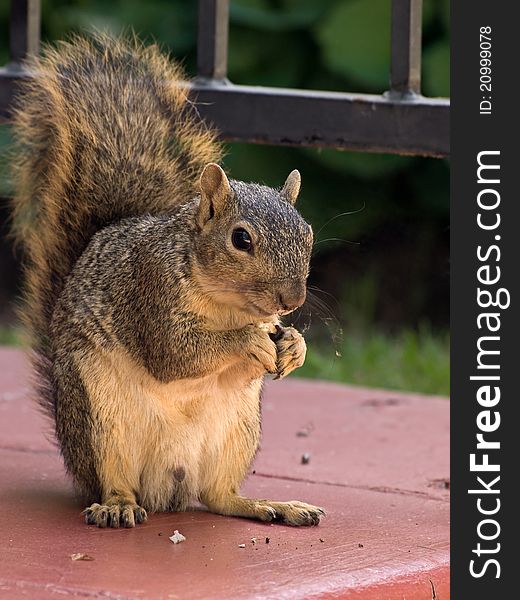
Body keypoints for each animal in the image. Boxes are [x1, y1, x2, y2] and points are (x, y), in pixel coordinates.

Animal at [10, 32, 322, 528]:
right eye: (241, 239)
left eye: (308, 232)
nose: (291, 299)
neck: (226, 304)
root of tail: (165, 488)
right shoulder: (150, 291)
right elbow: (173, 353)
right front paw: (245, 341)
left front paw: (293, 346)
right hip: (101, 420)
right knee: (115, 478)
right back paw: (118, 506)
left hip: (238, 428)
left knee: (219, 496)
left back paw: (269, 505)